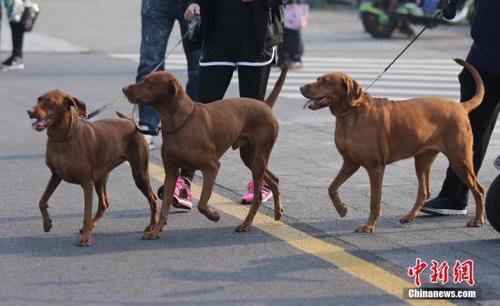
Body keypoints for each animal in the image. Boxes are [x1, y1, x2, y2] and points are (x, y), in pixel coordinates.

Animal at [27, 90, 156, 246]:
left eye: (49, 101)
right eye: (38, 99)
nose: (29, 111)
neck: (63, 138)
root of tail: (131, 123)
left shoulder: (86, 183)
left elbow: (86, 213)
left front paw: (85, 239)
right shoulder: (55, 175)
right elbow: (42, 201)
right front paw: (47, 223)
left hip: (139, 174)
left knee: (153, 199)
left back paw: (152, 226)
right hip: (100, 178)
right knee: (104, 203)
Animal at [121, 65, 288, 239]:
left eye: (149, 82)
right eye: (143, 78)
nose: (124, 89)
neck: (177, 122)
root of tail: (266, 105)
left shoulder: (212, 167)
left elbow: (202, 203)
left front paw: (214, 216)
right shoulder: (171, 171)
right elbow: (165, 207)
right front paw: (155, 231)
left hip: (257, 158)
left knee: (258, 197)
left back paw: (246, 224)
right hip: (249, 157)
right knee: (274, 179)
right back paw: (278, 212)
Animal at [300, 59, 484, 232]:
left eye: (325, 82)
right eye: (318, 79)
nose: (301, 87)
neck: (350, 115)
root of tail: (460, 106)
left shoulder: (375, 168)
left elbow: (374, 201)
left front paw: (368, 226)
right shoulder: (350, 162)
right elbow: (331, 187)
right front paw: (342, 209)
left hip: (459, 159)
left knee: (478, 189)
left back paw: (477, 220)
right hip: (423, 159)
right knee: (424, 191)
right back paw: (408, 217)